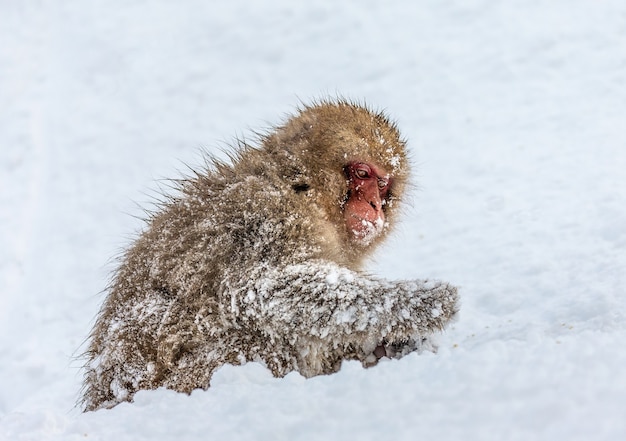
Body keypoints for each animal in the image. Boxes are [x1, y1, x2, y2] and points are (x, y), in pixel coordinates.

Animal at [80, 99, 456, 410]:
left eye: (382, 184)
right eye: (362, 173)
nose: (376, 205)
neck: (302, 192)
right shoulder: (265, 218)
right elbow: (260, 289)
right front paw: (421, 303)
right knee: (266, 338)